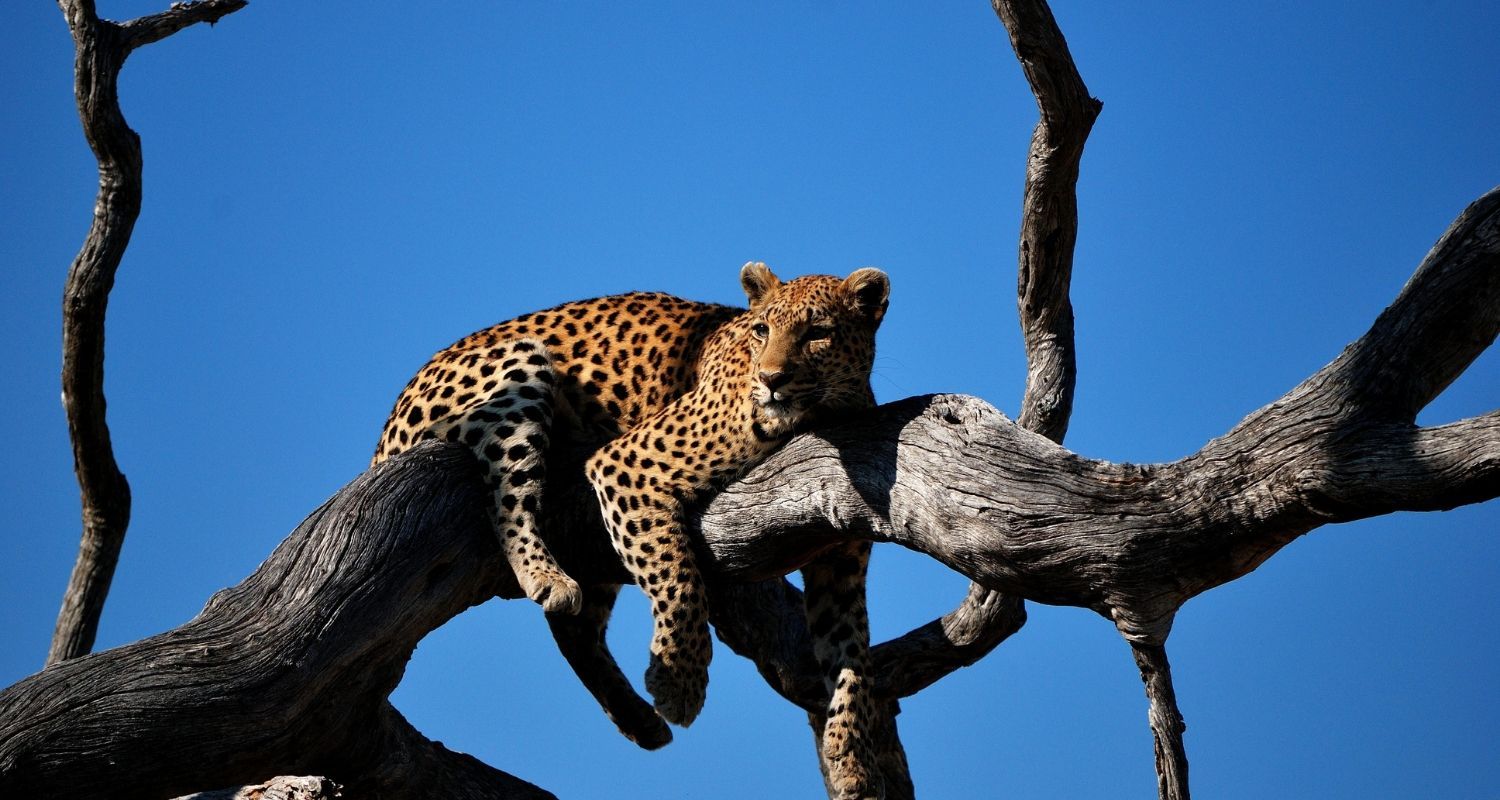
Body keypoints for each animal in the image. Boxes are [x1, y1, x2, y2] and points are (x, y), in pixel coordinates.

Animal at [372, 262, 889, 797]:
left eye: (817, 334)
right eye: (761, 330)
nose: (771, 379)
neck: (819, 415)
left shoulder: (840, 566)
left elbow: (852, 656)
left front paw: (853, 761)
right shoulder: (628, 466)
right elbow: (678, 576)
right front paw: (680, 685)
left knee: (575, 627)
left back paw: (638, 720)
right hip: (519, 367)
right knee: (508, 494)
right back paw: (547, 577)